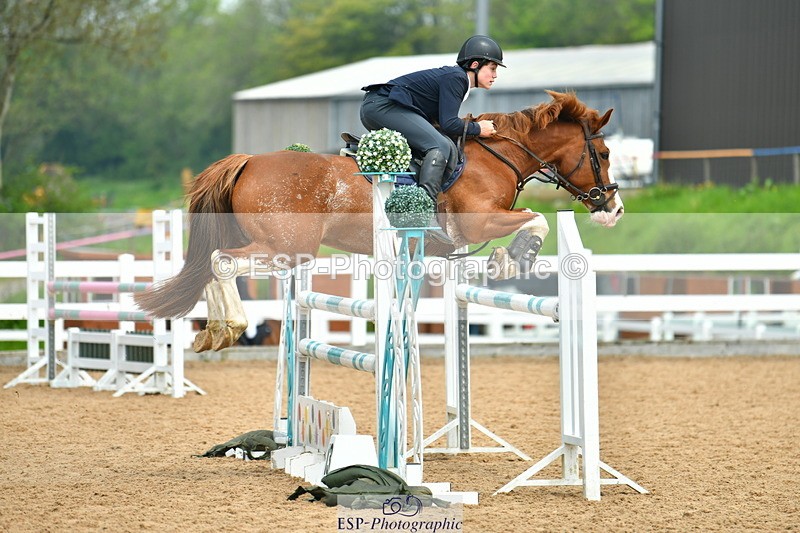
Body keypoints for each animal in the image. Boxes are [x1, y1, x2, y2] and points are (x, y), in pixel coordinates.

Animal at [134, 90, 624, 352]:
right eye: (602, 154)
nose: (614, 209)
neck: (497, 155)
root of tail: (249, 160)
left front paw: (505, 259)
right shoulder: (479, 223)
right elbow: (536, 220)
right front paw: (515, 257)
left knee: (211, 266)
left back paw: (211, 334)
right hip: (287, 250)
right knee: (222, 261)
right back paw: (230, 327)